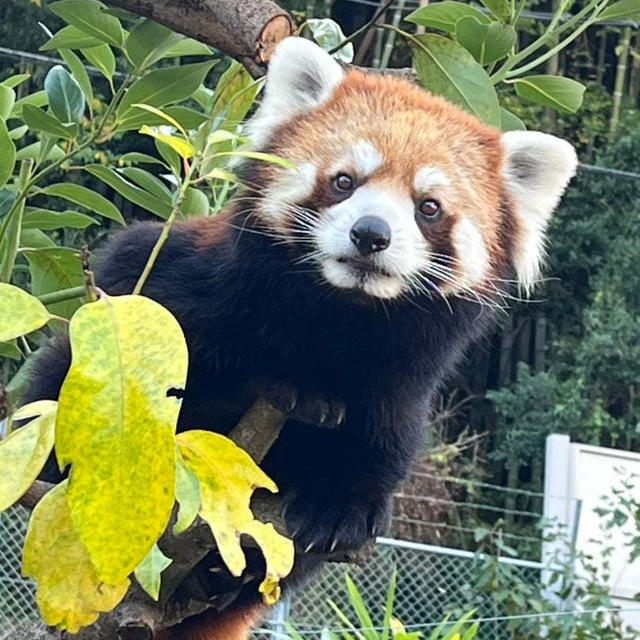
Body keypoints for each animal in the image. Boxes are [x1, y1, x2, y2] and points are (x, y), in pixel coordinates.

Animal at [22, 38, 576, 640]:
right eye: (344, 181)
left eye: (428, 207)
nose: (371, 234)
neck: (338, 315)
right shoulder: (193, 295)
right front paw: (288, 390)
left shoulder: (402, 380)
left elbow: (386, 440)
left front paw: (343, 502)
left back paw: (217, 577)